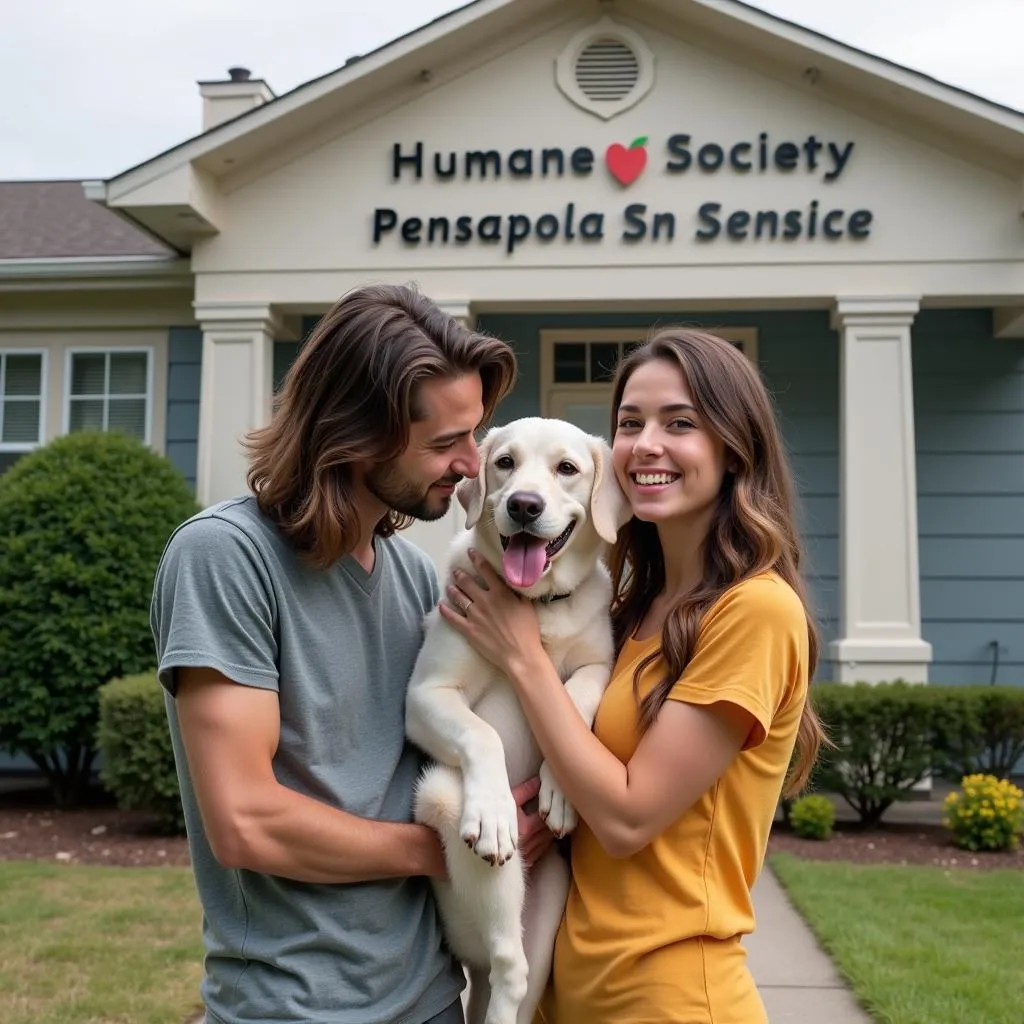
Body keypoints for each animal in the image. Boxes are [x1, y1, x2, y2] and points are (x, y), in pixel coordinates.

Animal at [401, 415, 626, 1024]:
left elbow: (577, 697)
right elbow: (483, 735)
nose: (524, 505)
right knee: (508, 966)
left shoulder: (600, 664)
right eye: (505, 463)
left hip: (547, 910)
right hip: (448, 807)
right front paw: (499, 809)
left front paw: (559, 791)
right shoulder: (427, 695)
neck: (536, 605)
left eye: (567, 468)